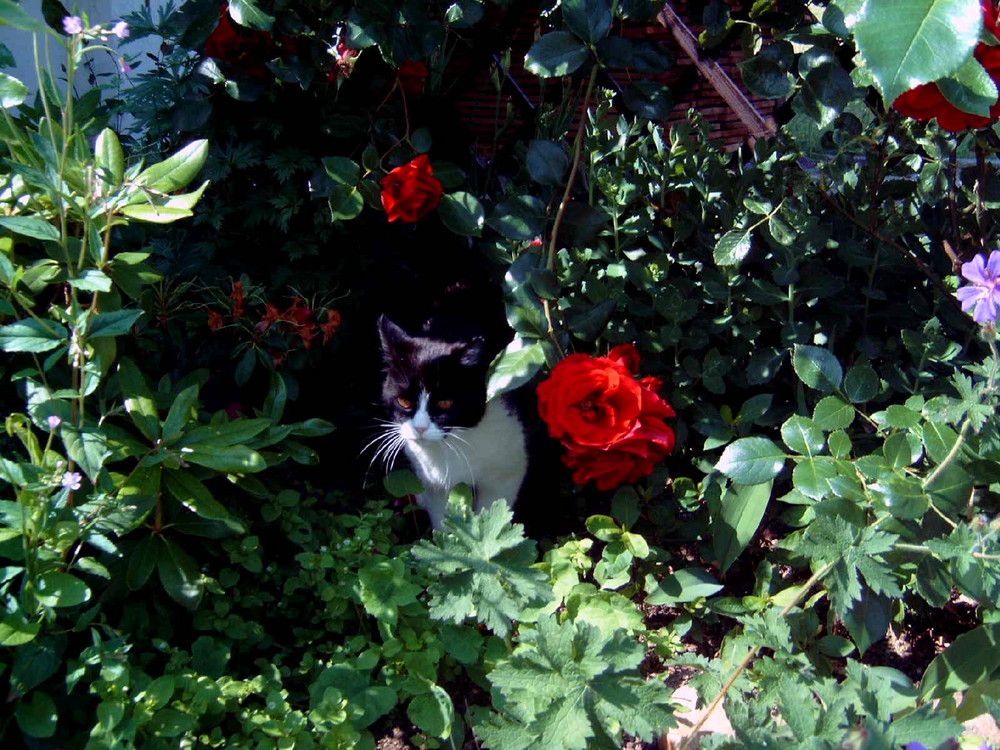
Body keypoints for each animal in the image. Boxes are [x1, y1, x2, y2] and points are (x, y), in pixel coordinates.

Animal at [374, 288, 528, 528]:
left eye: (445, 403)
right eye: (404, 402)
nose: (420, 428)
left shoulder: (506, 473)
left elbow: (492, 514)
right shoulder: (435, 485)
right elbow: (443, 521)